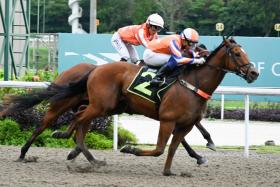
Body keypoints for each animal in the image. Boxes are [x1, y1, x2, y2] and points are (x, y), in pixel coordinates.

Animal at [0, 62, 213, 164]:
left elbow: (185, 133)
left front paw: (201, 151)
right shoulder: (164, 112)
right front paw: (203, 148)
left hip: (96, 105)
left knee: (79, 121)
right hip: (67, 103)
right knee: (45, 123)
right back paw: (24, 152)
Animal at [49, 37, 258, 175]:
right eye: (237, 53)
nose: (254, 73)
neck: (194, 83)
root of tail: (96, 68)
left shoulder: (186, 124)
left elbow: (172, 147)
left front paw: (171, 169)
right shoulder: (167, 119)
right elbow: (159, 149)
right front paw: (130, 149)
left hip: (107, 106)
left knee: (81, 114)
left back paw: (75, 146)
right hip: (102, 105)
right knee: (79, 116)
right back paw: (64, 136)